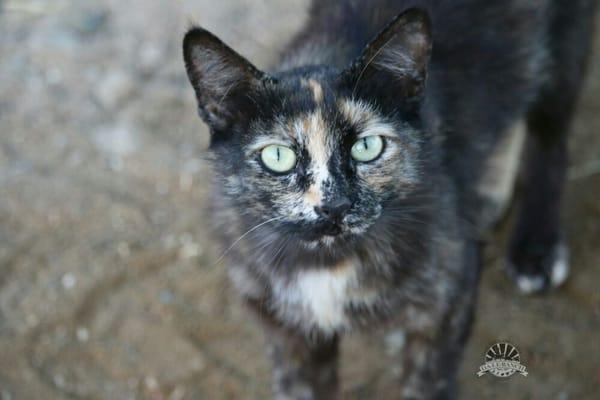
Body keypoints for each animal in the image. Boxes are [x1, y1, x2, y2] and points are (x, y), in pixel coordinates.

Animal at [182, 1, 596, 398]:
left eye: (368, 147)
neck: (328, 262)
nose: (335, 205)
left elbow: (425, 384)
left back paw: (536, 247)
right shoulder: (288, 330)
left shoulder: (446, 305)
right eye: (278, 156)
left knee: (549, 134)